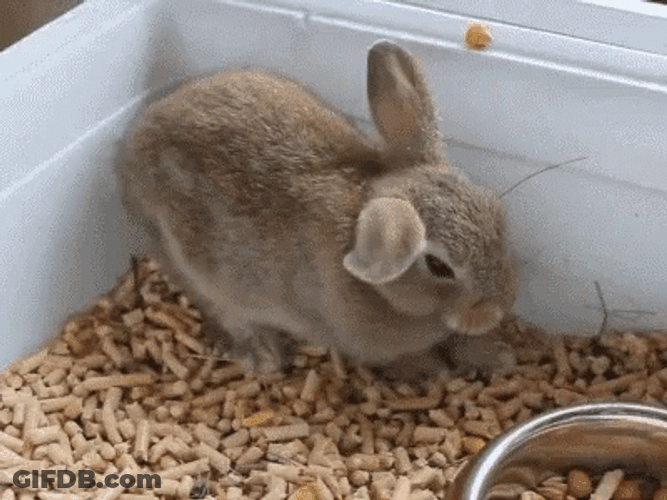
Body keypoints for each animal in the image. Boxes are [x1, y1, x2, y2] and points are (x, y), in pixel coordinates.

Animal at [116, 40, 517, 379]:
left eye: (496, 212)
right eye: (438, 266)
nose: (500, 308)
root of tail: (132, 146)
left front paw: (495, 358)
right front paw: (431, 372)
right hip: (199, 272)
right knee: (225, 312)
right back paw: (265, 356)